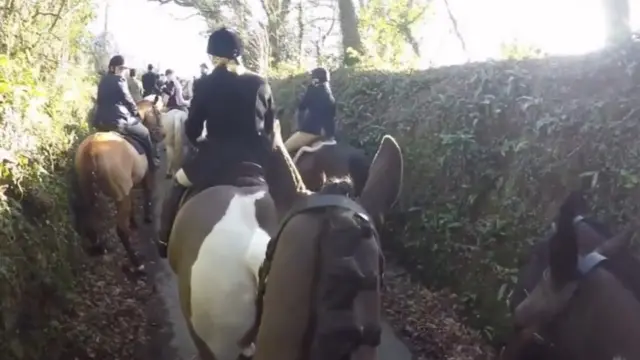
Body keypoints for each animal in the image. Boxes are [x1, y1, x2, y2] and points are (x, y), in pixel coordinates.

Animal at [70, 100, 165, 272]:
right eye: (157, 112)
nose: (162, 134)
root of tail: (91, 151)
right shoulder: (146, 175)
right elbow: (148, 191)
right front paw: (146, 216)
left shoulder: (129, 186)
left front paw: (133, 221)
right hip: (120, 196)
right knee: (121, 230)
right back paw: (137, 263)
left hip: (89, 193)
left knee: (89, 217)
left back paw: (99, 245)